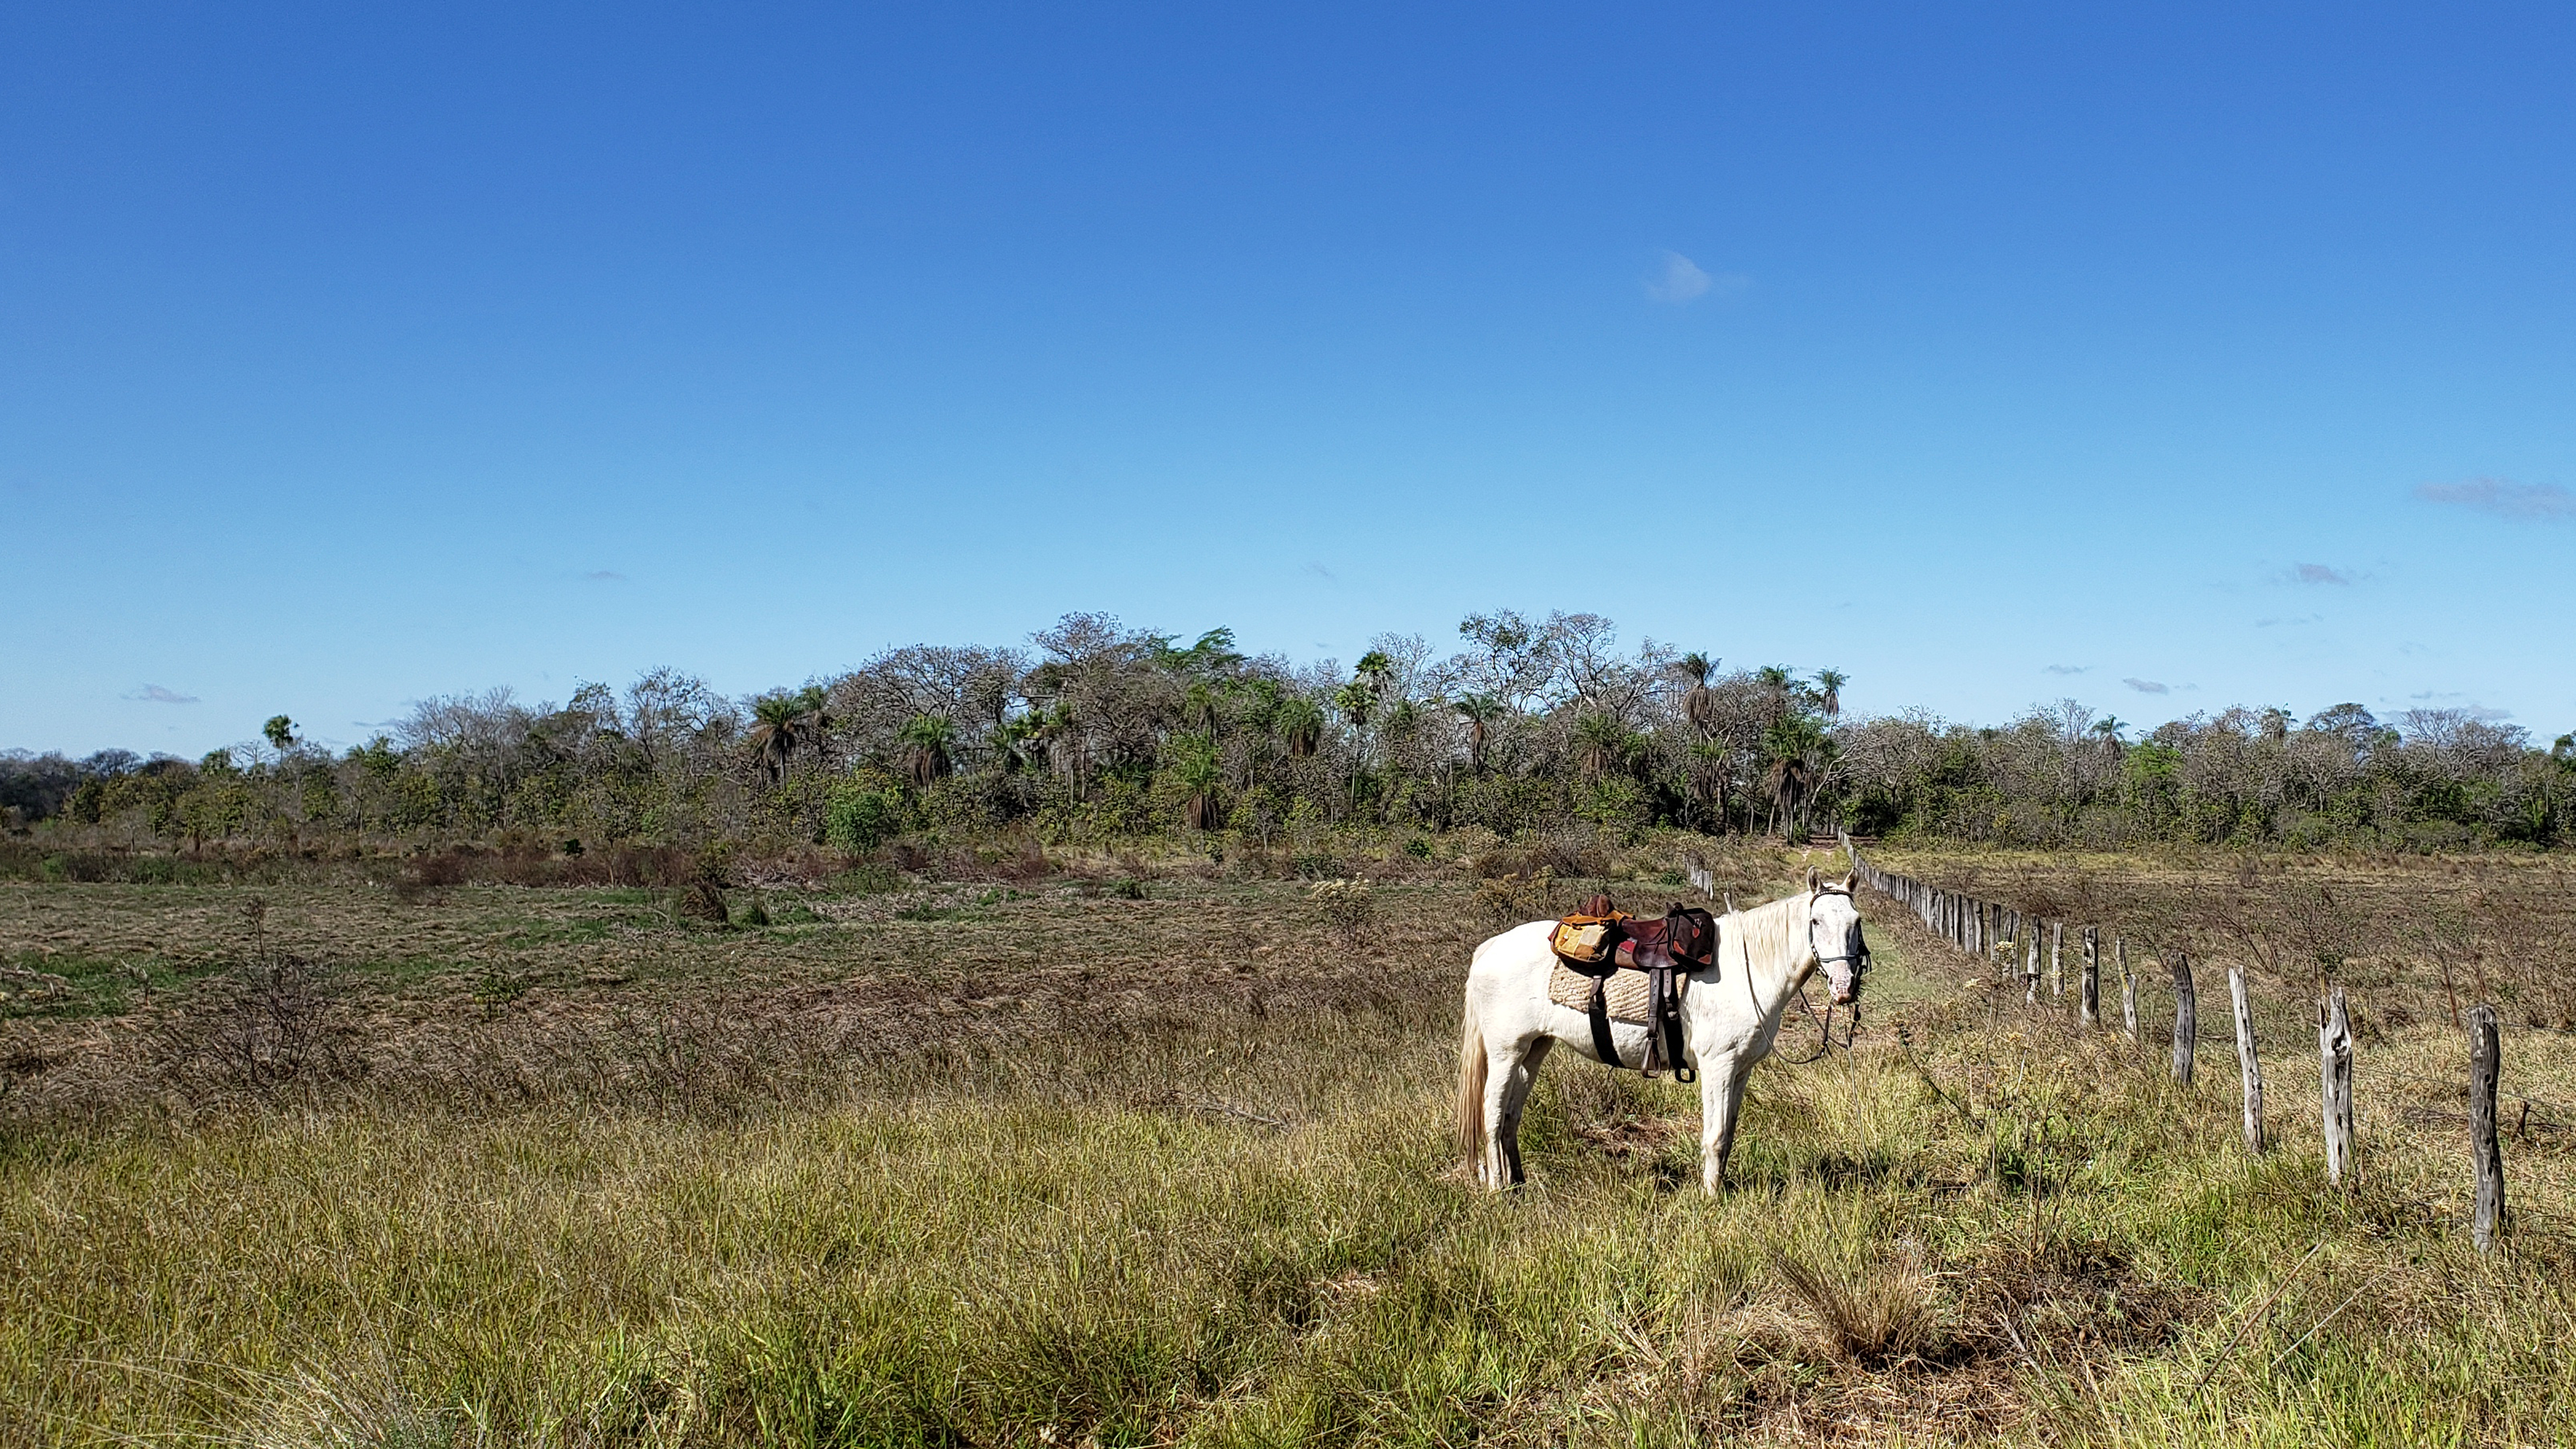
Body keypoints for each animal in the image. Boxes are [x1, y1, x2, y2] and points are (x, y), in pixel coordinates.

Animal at [1463, 866, 1865, 1185]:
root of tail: (1491, 947)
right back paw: (1498, 1188)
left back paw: (1519, 1185)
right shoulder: (1718, 1066)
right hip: (1505, 1053)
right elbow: (1715, 1137)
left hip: (1534, 1050)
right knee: (1492, 1114)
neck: (1748, 968)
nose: (1844, 988)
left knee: (1511, 1115)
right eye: (1816, 922)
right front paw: (1711, 1198)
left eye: (1856, 922)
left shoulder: (1741, 1070)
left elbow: (1729, 1135)